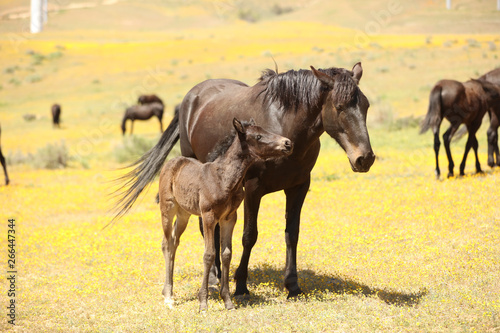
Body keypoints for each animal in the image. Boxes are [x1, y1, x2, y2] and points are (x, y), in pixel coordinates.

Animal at [160, 118, 292, 310]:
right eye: (258, 136)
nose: (287, 143)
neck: (224, 180)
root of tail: (172, 162)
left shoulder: (229, 218)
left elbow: (226, 254)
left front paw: (228, 301)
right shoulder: (208, 216)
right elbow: (209, 254)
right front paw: (203, 302)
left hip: (184, 213)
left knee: (174, 241)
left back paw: (168, 292)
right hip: (167, 208)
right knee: (166, 243)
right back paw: (168, 296)